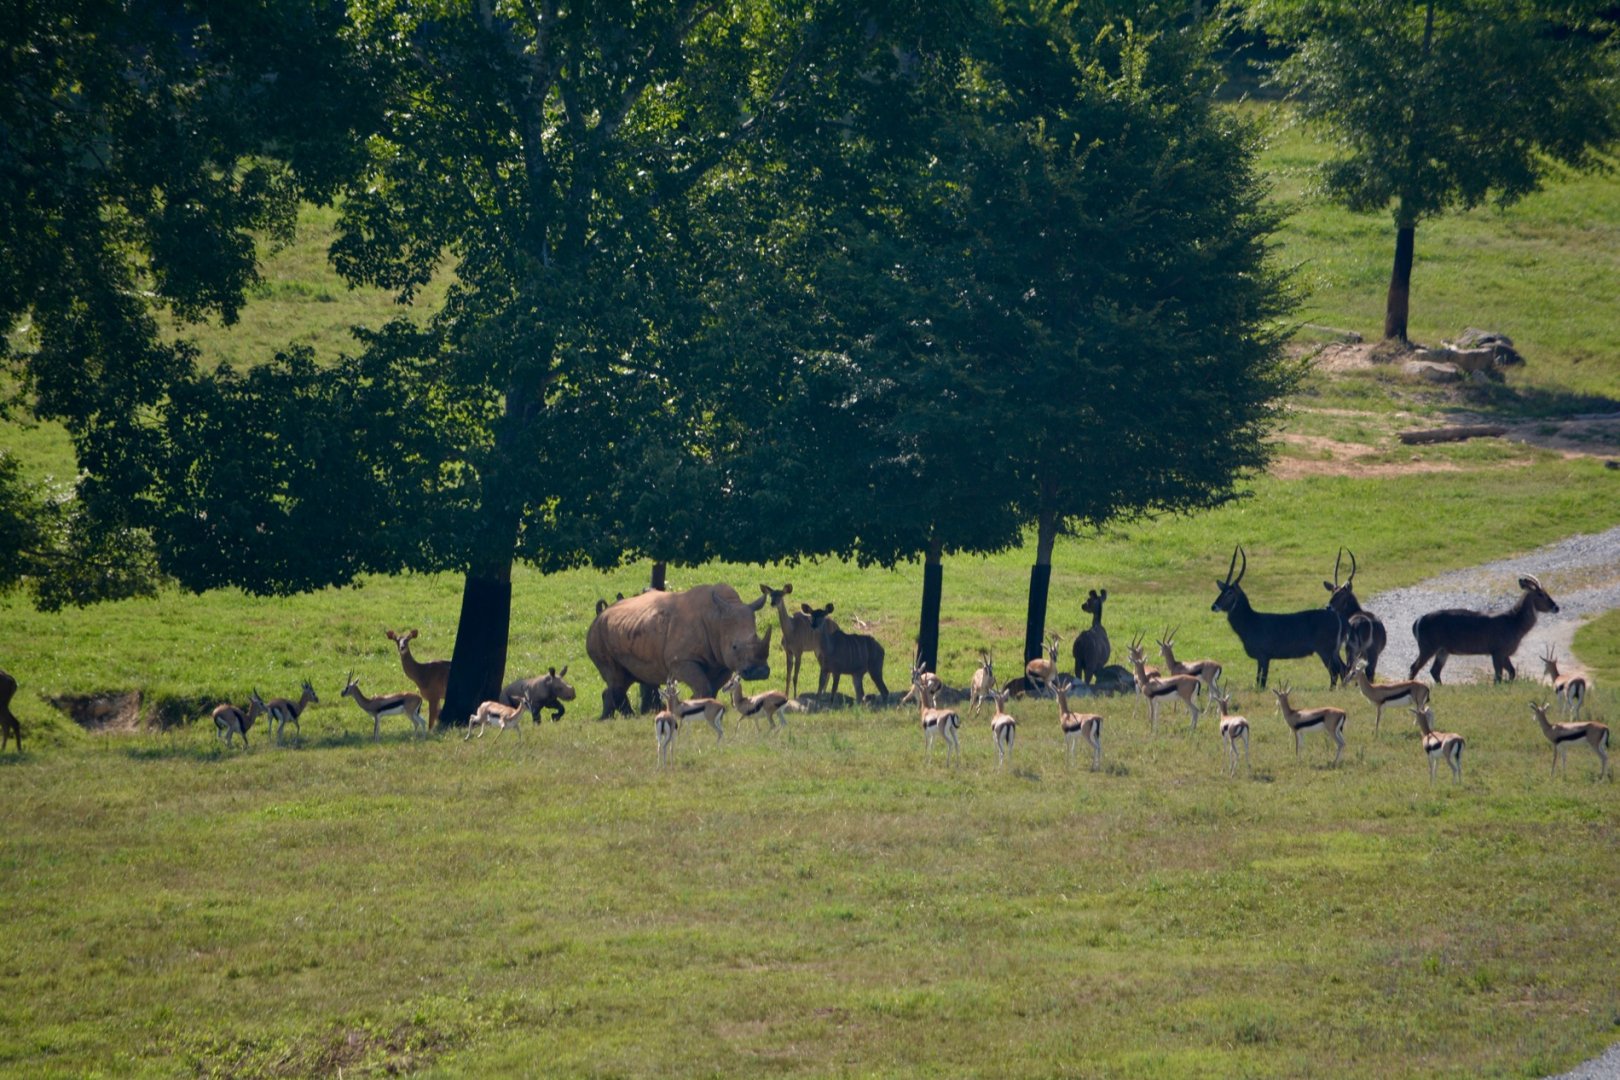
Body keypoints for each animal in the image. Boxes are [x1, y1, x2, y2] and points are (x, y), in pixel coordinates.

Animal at [586, 583, 772, 718]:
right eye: (734, 646)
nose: (759, 672)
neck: (716, 619)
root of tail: (599, 615)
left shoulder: (721, 662)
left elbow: (713, 687)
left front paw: (699, 705)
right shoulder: (681, 660)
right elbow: (703, 685)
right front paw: (693, 707)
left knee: (623, 679)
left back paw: (611, 718)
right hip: (597, 634)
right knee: (616, 679)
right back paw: (623, 718)